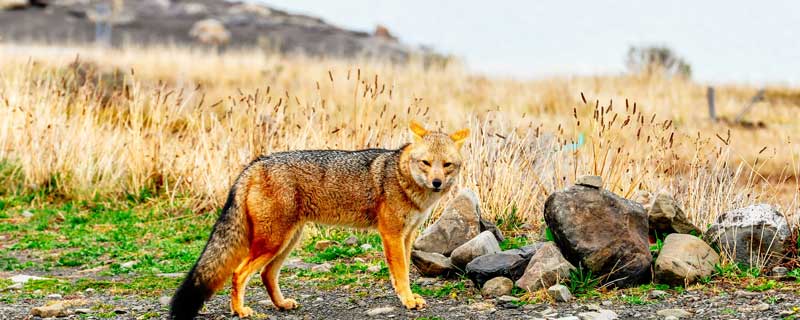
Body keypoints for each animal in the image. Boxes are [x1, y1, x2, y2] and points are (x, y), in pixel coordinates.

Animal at [169, 122, 468, 318]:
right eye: (426, 163)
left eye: (447, 165)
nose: (437, 182)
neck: (401, 177)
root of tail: (255, 164)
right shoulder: (391, 235)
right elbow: (402, 272)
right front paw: (407, 300)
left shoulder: (407, 236)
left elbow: (402, 271)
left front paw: (407, 297)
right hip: (273, 242)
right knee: (239, 272)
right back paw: (241, 310)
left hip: (287, 241)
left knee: (266, 274)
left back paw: (281, 305)